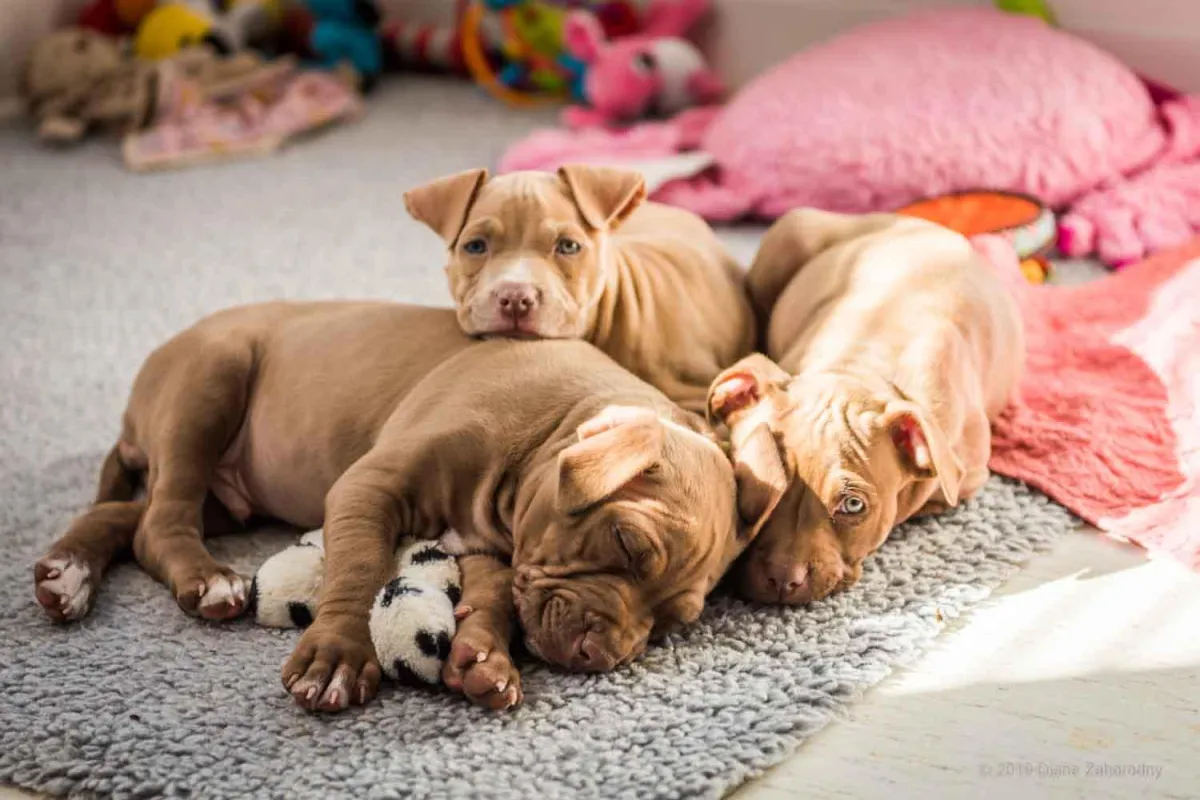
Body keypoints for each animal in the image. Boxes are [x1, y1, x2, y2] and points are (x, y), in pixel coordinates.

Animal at [35, 302, 787, 714]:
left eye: (670, 624)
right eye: (628, 543)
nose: (600, 656)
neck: (547, 428)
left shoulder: (494, 544)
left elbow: (494, 596)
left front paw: (485, 660)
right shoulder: (368, 488)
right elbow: (359, 566)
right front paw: (338, 657)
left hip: (229, 495)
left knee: (131, 517)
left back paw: (67, 574)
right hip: (208, 384)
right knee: (161, 519)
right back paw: (205, 578)